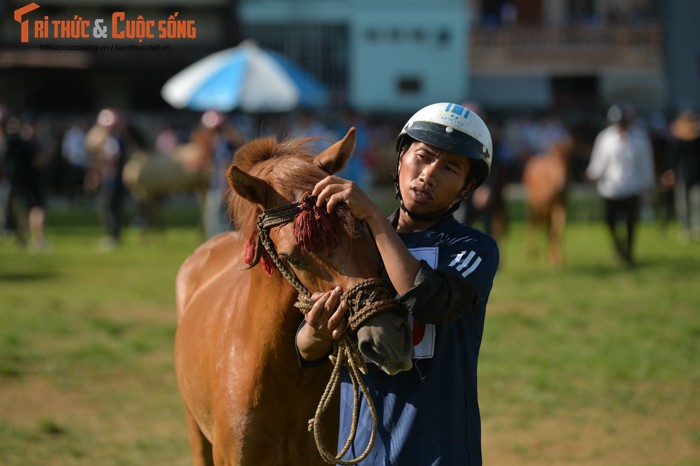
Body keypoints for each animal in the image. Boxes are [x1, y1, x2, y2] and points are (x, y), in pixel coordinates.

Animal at [520, 135, 576, 266]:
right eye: (555, 161)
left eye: (569, 162)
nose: (561, 186)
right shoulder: (547, 206)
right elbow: (551, 230)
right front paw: (552, 258)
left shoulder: (563, 206)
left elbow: (559, 230)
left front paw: (558, 257)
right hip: (532, 204)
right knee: (533, 223)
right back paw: (532, 253)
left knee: (541, 224)